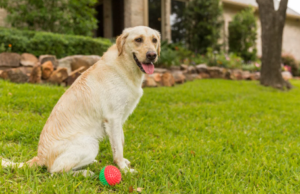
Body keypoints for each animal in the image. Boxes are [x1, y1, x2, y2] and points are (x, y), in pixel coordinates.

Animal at [1, 25, 161, 174]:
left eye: (154, 40)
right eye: (138, 39)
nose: (152, 55)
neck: (124, 67)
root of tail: (40, 157)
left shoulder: (119, 120)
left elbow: (121, 142)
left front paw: (124, 163)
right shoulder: (113, 118)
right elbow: (118, 149)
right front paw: (124, 170)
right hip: (90, 144)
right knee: (56, 171)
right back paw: (85, 173)